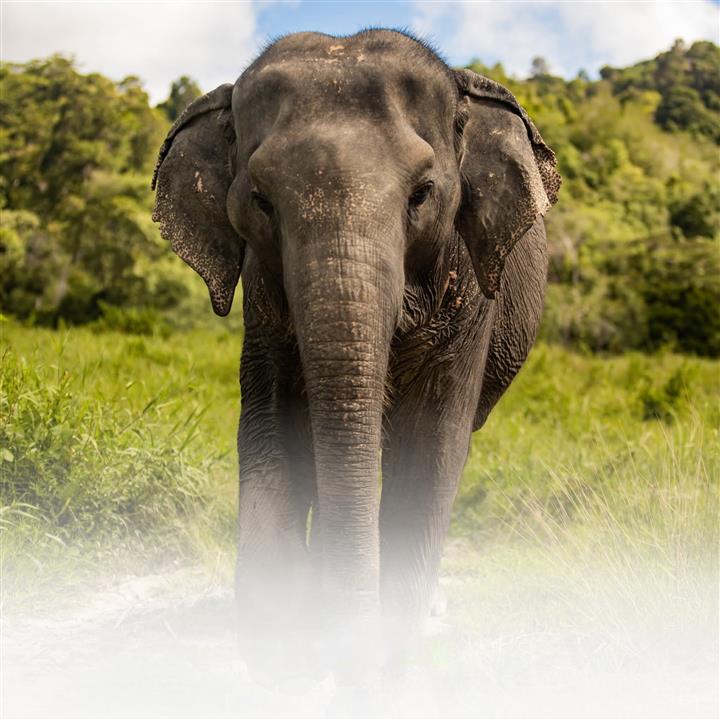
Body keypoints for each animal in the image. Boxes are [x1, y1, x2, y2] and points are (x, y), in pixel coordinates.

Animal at [152, 29, 559, 684]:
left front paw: (390, 639)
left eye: (422, 194)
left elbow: (431, 442)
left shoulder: (473, 292)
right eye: (261, 200)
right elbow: (272, 428)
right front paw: (288, 639)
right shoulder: (263, 301)